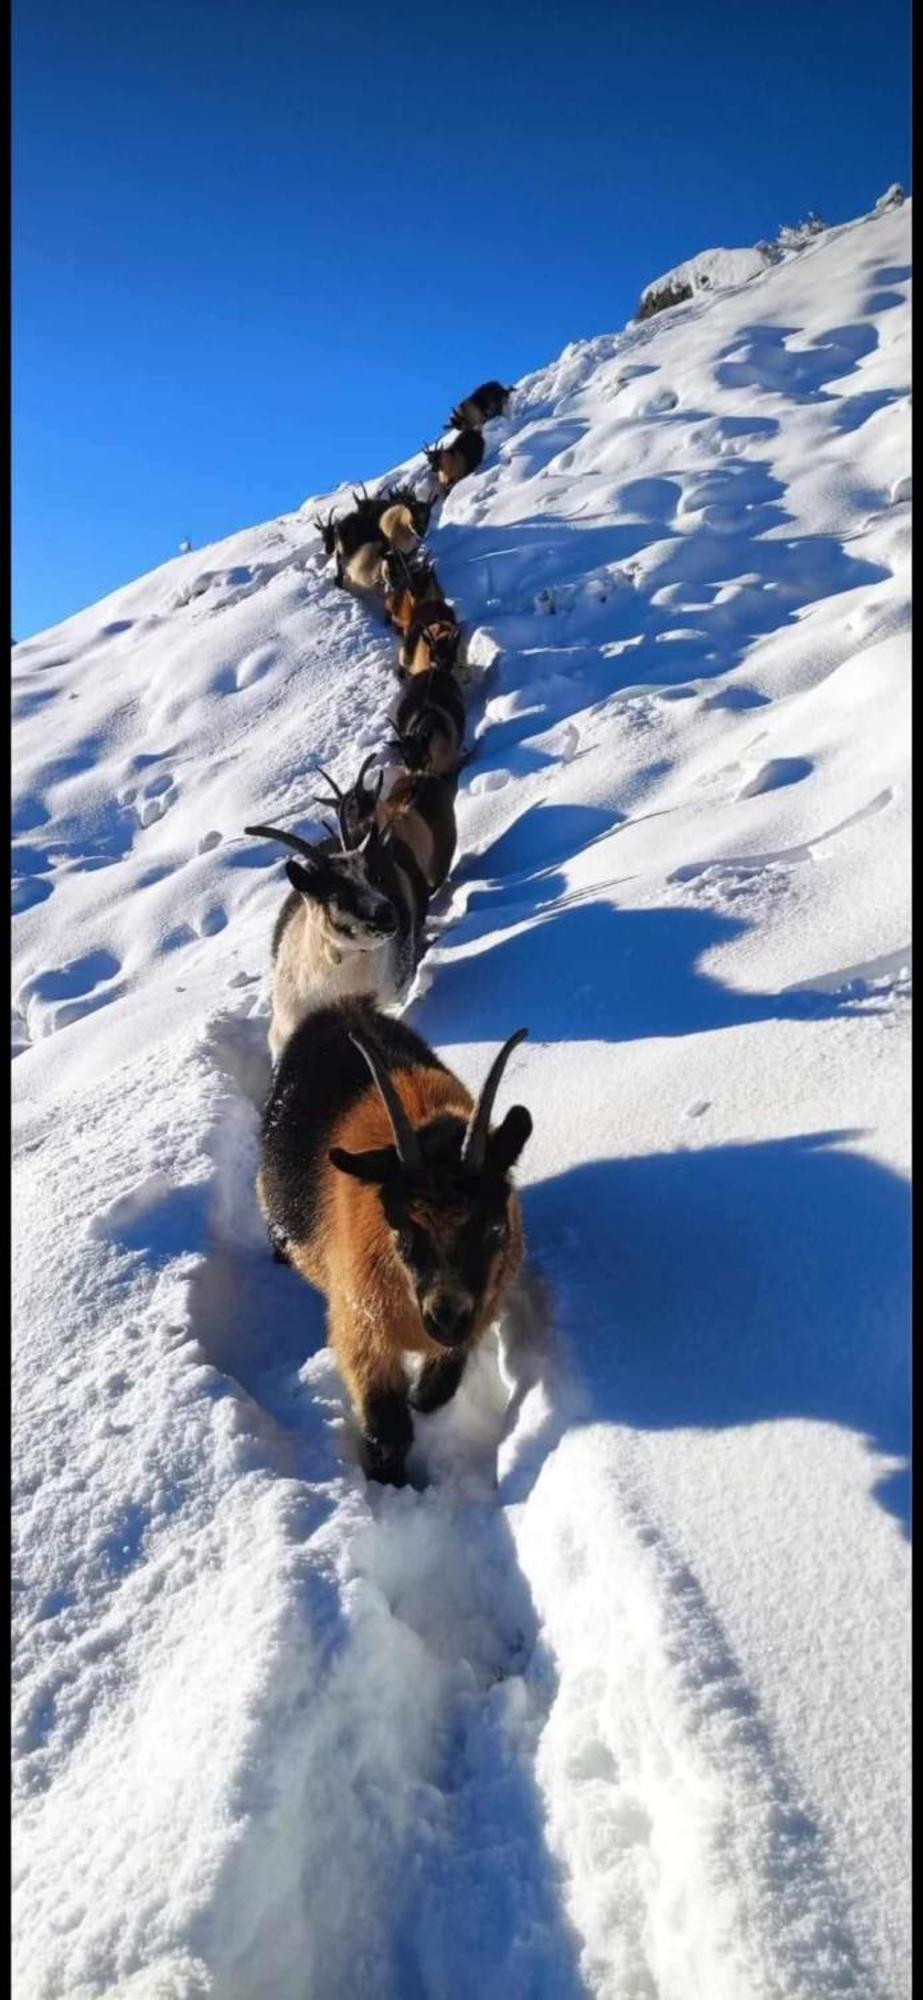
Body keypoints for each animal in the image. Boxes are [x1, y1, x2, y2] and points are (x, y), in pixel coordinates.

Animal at [259, 1000, 535, 1488]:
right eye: (401, 1232)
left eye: (495, 1229)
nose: (445, 1319)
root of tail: (341, 1006)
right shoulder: (359, 1326)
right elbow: (389, 1429)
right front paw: (389, 1482)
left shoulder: (479, 1310)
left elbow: (433, 1393)